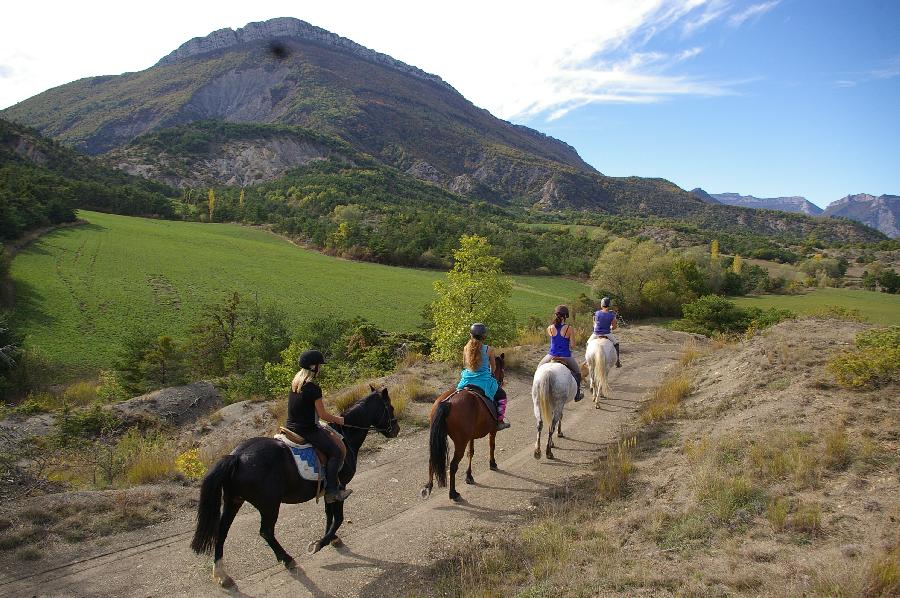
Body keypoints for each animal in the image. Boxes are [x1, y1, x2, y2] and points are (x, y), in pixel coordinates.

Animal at [192, 390, 400, 592]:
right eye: (389, 407)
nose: (396, 429)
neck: (345, 435)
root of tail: (236, 457)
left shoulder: (328, 491)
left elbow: (329, 514)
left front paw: (332, 539)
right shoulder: (340, 487)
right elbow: (338, 518)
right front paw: (320, 543)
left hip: (234, 500)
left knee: (222, 531)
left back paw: (222, 575)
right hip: (269, 505)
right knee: (266, 532)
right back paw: (287, 559)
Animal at [420, 356, 502, 502]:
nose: (502, 381)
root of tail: (447, 402)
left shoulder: (471, 436)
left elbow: (471, 452)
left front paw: (469, 476)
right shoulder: (492, 430)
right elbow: (492, 446)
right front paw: (492, 463)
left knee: (432, 460)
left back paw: (428, 487)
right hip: (460, 442)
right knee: (453, 465)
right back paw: (453, 493)